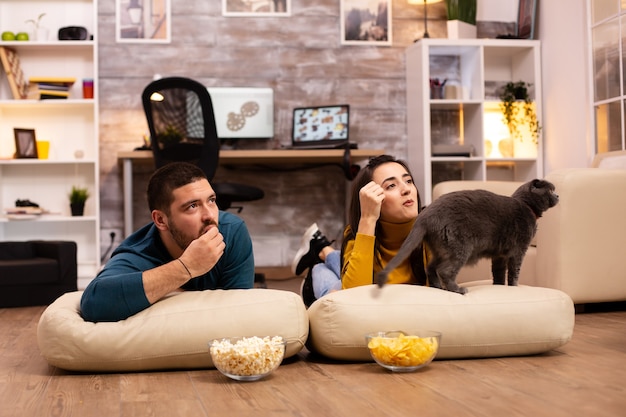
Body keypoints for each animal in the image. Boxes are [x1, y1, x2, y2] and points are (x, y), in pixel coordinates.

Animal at [372, 179, 560, 292]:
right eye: (550, 190)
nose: (558, 195)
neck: (527, 206)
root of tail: (424, 216)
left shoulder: (499, 255)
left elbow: (498, 272)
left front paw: (499, 286)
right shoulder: (519, 250)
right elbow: (515, 271)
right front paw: (515, 287)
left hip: (441, 248)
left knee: (431, 267)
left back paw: (437, 287)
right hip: (460, 247)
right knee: (445, 270)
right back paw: (457, 289)